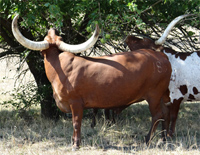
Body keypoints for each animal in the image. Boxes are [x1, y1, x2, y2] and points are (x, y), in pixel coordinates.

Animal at [12, 14, 172, 150]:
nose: (53, 28)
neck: (59, 67)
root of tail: (161, 56)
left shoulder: (76, 103)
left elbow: (76, 123)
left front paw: (76, 145)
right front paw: (73, 142)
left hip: (153, 95)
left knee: (157, 115)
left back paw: (148, 140)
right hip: (162, 96)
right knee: (165, 113)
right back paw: (163, 139)